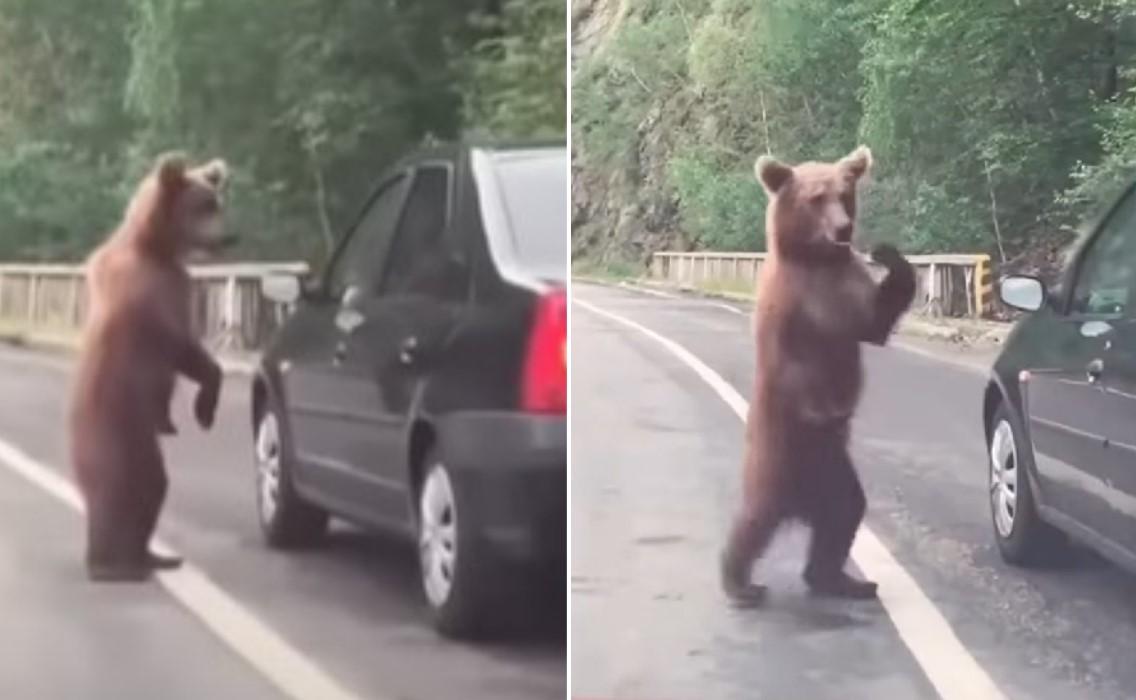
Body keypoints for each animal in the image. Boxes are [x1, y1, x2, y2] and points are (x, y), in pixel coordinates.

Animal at [70, 155, 230, 581]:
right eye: (202, 206)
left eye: (218, 203)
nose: (227, 238)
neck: (155, 248)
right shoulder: (147, 296)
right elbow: (181, 349)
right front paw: (204, 408)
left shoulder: (177, 283)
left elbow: (192, 350)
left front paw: (195, 410)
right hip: (119, 434)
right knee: (132, 488)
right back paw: (114, 564)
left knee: (153, 491)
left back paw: (153, 556)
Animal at [722, 144, 917, 604]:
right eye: (816, 198)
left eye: (845, 194)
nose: (844, 229)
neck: (817, 259)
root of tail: (801, 501)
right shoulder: (792, 306)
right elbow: (799, 365)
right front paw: (824, 408)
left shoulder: (849, 286)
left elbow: (875, 322)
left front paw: (889, 254)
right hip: (778, 458)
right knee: (754, 520)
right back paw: (740, 582)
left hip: (834, 471)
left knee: (844, 514)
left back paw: (841, 579)